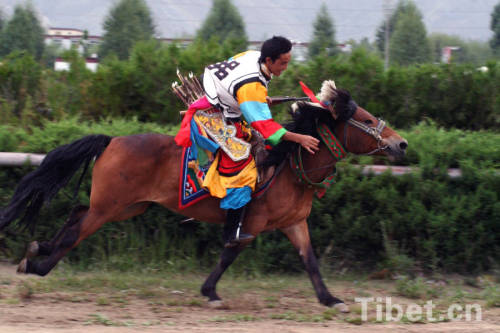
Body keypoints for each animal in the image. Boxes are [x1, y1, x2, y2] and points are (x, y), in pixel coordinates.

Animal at [0, 80, 406, 312]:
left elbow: (311, 262)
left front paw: (330, 299)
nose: (400, 144)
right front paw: (210, 292)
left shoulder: (294, 224)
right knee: (77, 230)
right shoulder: (252, 222)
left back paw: (37, 251)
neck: (289, 165)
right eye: (367, 121)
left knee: (76, 214)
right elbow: (229, 253)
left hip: (127, 206)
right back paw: (37, 265)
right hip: (110, 206)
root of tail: (112, 139)